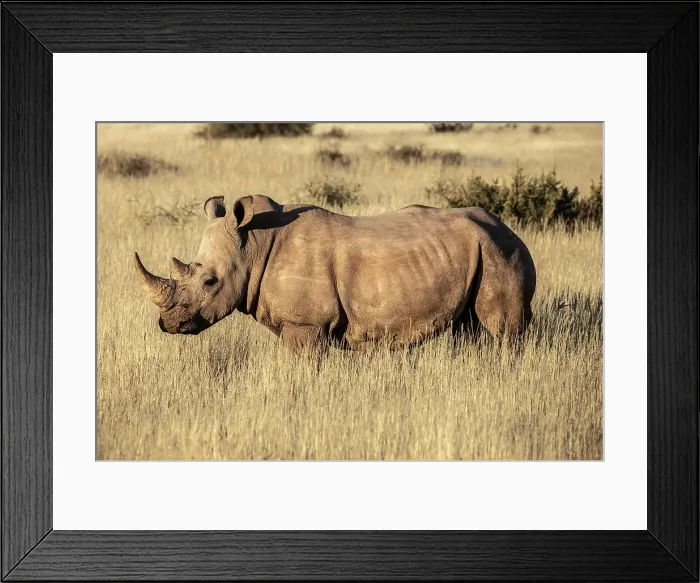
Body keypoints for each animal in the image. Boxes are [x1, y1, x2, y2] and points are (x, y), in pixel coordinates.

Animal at [135, 195, 536, 351]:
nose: (167, 324)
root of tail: (508, 227)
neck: (253, 246)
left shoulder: (305, 325)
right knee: (470, 329)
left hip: (502, 251)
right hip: (487, 248)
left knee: (501, 332)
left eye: (209, 281)